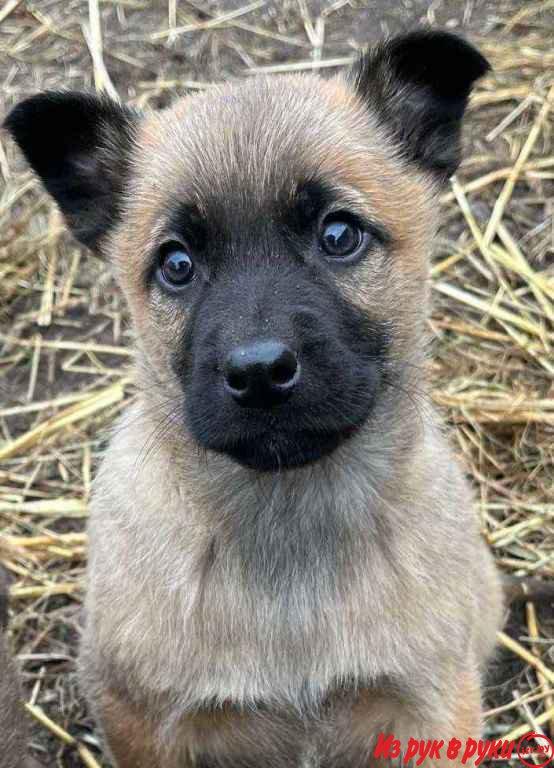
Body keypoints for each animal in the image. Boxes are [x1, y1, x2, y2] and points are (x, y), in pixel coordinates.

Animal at [5, 30, 500, 768]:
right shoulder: (146, 723)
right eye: (176, 265)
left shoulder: (430, 706)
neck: (289, 524)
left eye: (339, 234)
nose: (260, 372)